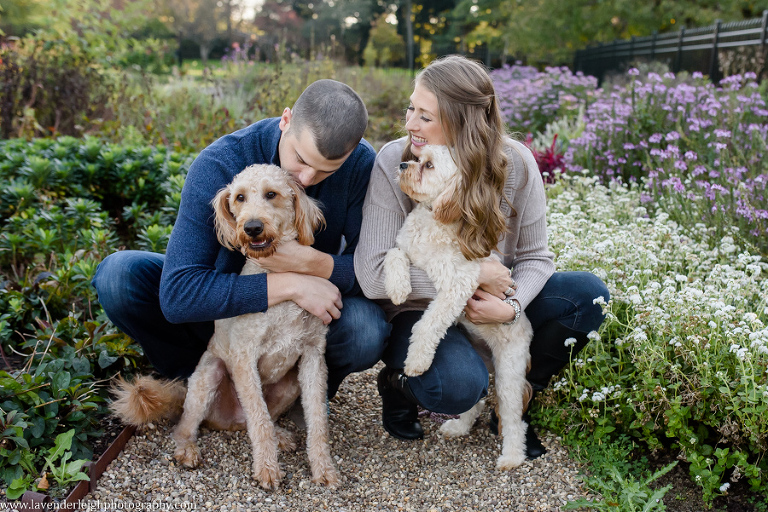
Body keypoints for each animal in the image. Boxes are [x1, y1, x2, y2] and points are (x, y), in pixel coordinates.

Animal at [109, 163, 338, 488]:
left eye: (272, 194)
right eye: (239, 197)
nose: (252, 227)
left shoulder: (313, 358)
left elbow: (317, 421)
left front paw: (324, 469)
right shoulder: (244, 358)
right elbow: (259, 420)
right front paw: (267, 469)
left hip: (289, 383)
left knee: (260, 420)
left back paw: (280, 436)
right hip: (208, 376)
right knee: (186, 425)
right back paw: (187, 450)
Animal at [384, 146, 536, 470]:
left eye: (428, 165)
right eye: (417, 157)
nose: (403, 164)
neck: (432, 217)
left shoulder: (458, 286)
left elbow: (427, 324)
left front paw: (416, 361)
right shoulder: (405, 250)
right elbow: (393, 255)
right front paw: (398, 287)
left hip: (509, 370)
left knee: (514, 419)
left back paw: (512, 457)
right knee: (474, 399)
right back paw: (459, 426)